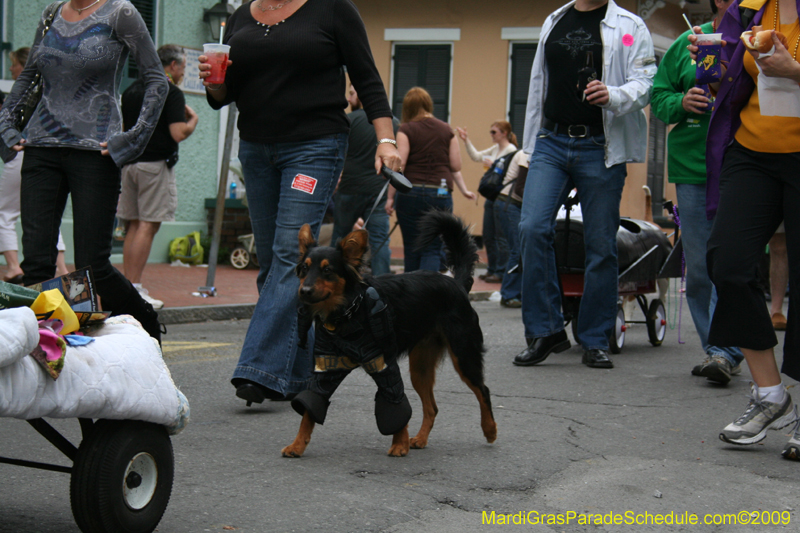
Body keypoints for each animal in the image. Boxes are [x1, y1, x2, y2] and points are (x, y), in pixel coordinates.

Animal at [280, 211, 494, 458]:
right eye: (304, 269)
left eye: (327, 270)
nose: (304, 291)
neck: (348, 313)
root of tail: (455, 283)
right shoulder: (327, 369)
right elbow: (309, 410)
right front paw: (297, 445)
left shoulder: (384, 365)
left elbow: (395, 404)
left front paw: (399, 444)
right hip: (420, 368)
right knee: (432, 407)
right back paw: (421, 438)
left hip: (464, 355)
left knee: (483, 390)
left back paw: (490, 430)